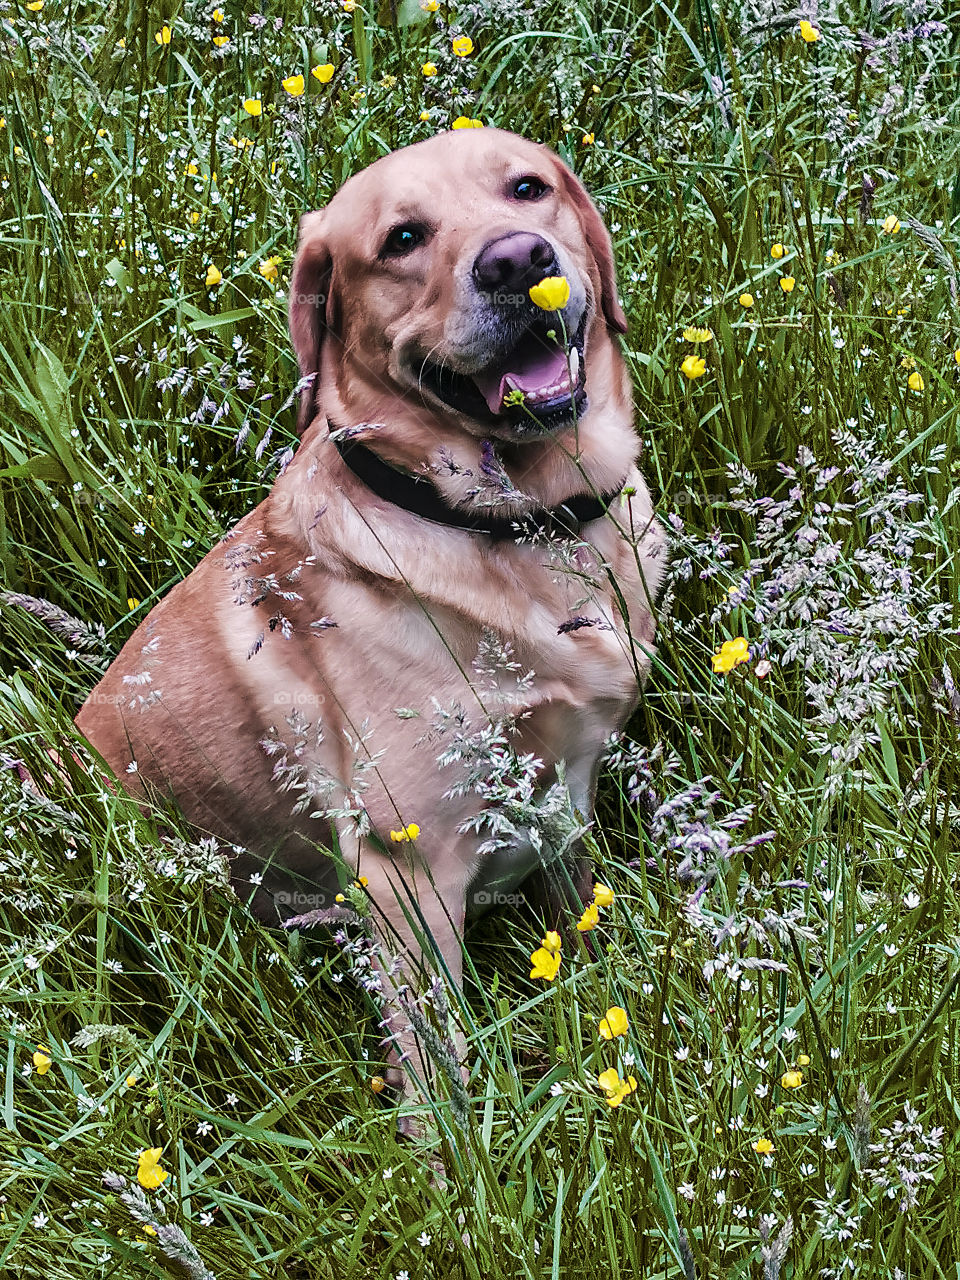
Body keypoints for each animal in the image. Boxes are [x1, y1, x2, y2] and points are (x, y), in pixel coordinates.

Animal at [75, 129, 670, 1105]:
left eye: (527, 189)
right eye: (402, 240)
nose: (518, 260)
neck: (514, 522)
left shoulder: (565, 791)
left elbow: (581, 912)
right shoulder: (410, 871)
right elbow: (439, 1068)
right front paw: (462, 1150)